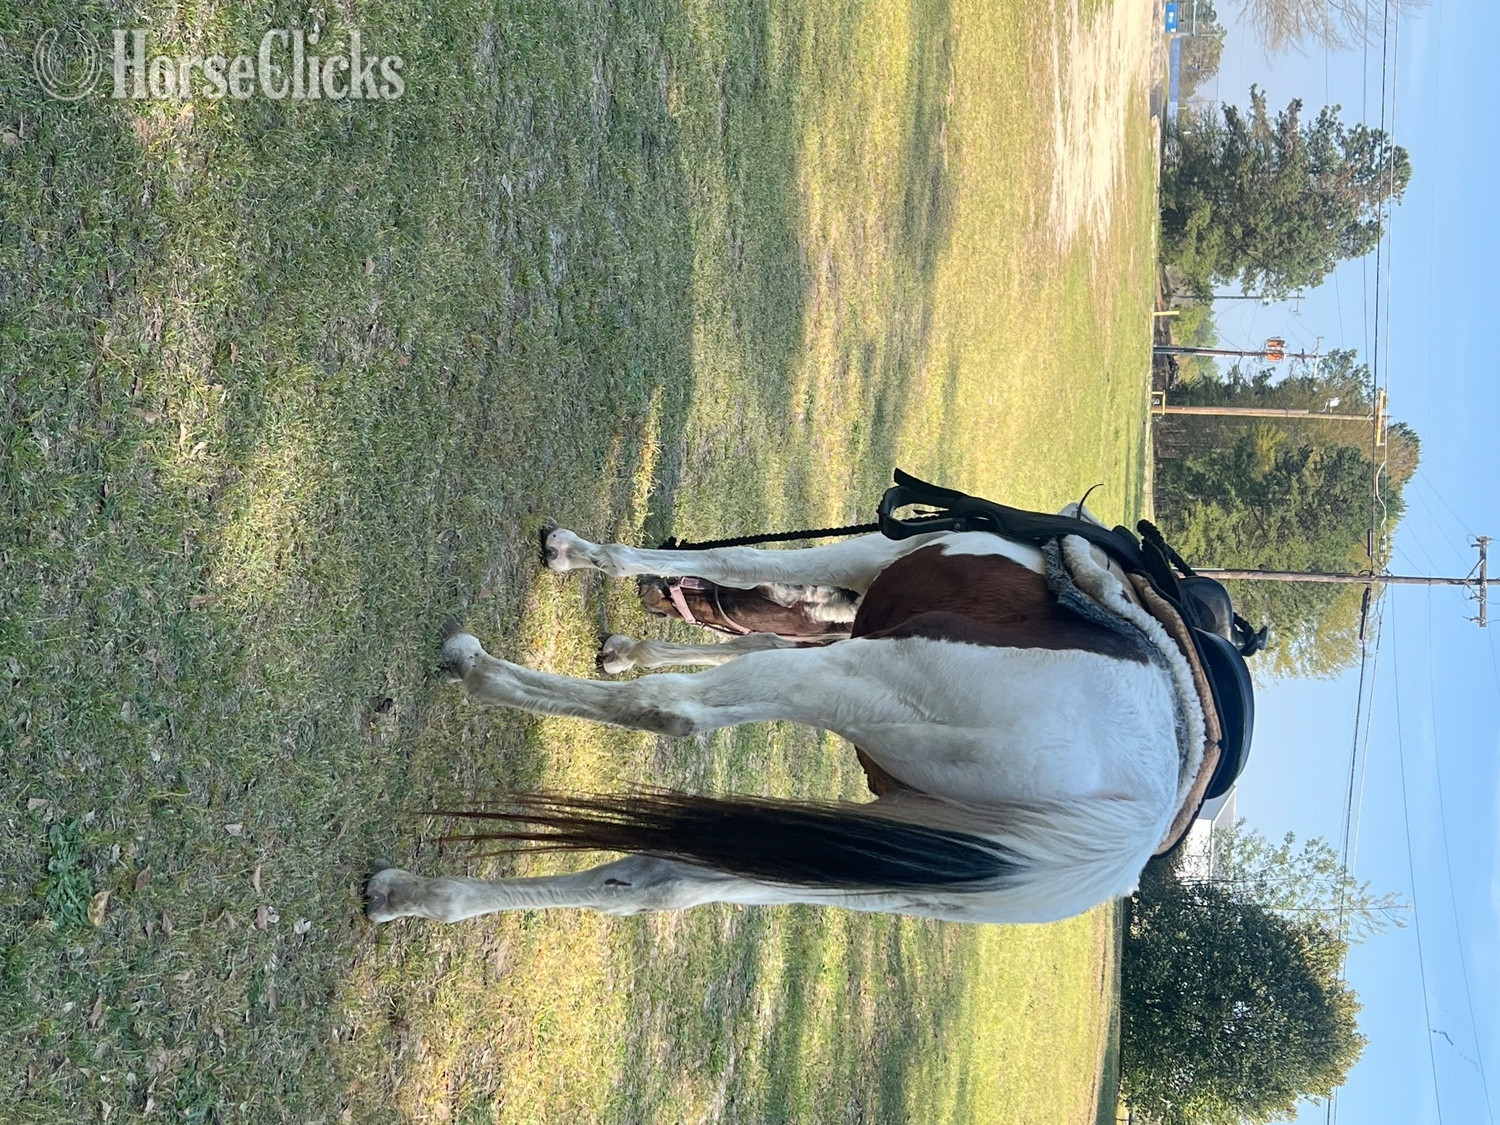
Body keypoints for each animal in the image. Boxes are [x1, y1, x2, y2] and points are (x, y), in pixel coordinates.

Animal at [367, 503, 1244, 927]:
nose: (651, 601)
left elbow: (738, 563)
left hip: (860, 682)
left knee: (671, 714)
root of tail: (1126, 827)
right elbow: (750, 624)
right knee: (661, 884)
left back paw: (476, 669)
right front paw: (626, 644)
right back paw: (418, 898)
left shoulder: (867, 559)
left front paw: (579, 555)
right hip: (880, 872)